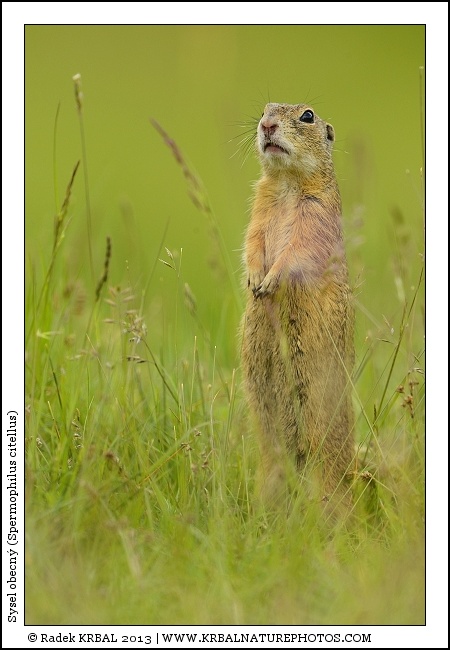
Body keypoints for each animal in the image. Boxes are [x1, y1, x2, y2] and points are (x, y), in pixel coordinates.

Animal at [241, 102, 355, 510]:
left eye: (307, 116)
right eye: (264, 109)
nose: (266, 125)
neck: (288, 183)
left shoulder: (317, 217)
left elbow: (297, 250)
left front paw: (270, 280)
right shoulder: (258, 210)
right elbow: (253, 240)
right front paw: (255, 279)